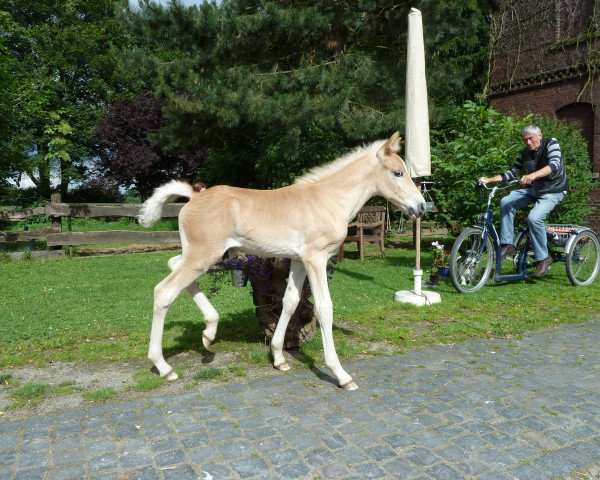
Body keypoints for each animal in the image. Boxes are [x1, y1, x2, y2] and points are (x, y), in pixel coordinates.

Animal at [138, 132, 424, 390]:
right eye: (397, 173)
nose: (421, 207)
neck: (329, 200)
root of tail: (194, 196)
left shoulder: (298, 261)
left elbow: (290, 301)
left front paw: (278, 357)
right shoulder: (316, 258)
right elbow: (324, 308)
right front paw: (341, 374)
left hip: (201, 255)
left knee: (173, 264)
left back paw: (209, 332)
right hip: (203, 256)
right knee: (163, 291)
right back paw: (164, 366)